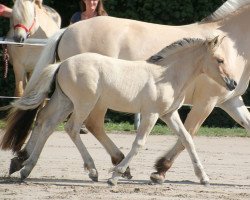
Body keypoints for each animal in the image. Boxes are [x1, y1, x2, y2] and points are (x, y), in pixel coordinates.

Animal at [1, 0, 250, 184]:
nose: (231, 82)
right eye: (220, 60)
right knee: (80, 126)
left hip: (67, 100)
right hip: (88, 102)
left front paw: (202, 177)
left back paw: (23, 165)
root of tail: (65, 32)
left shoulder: (225, 102)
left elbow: (188, 138)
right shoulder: (202, 103)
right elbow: (167, 139)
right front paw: (154, 172)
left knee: (47, 121)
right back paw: (100, 168)